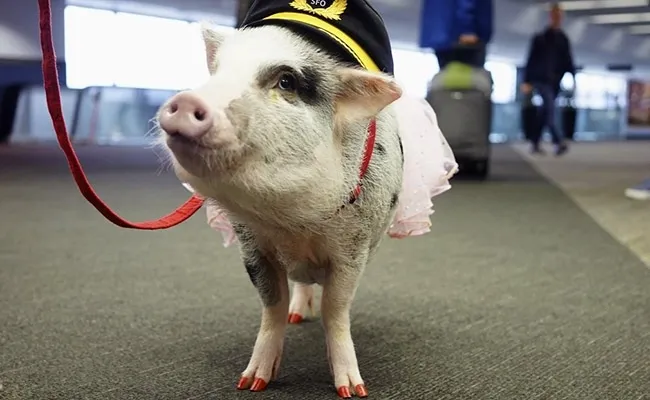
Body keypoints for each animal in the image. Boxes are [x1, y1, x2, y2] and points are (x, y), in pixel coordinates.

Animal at [156, 22, 457, 398]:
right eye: (220, 71)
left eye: (286, 81)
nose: (186, 101)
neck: (293, 222)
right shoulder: (251, 246)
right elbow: (272, 305)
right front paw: (251, 383)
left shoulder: (353, 249)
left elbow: (335, 309)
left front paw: (352, 390)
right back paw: (297, 317)